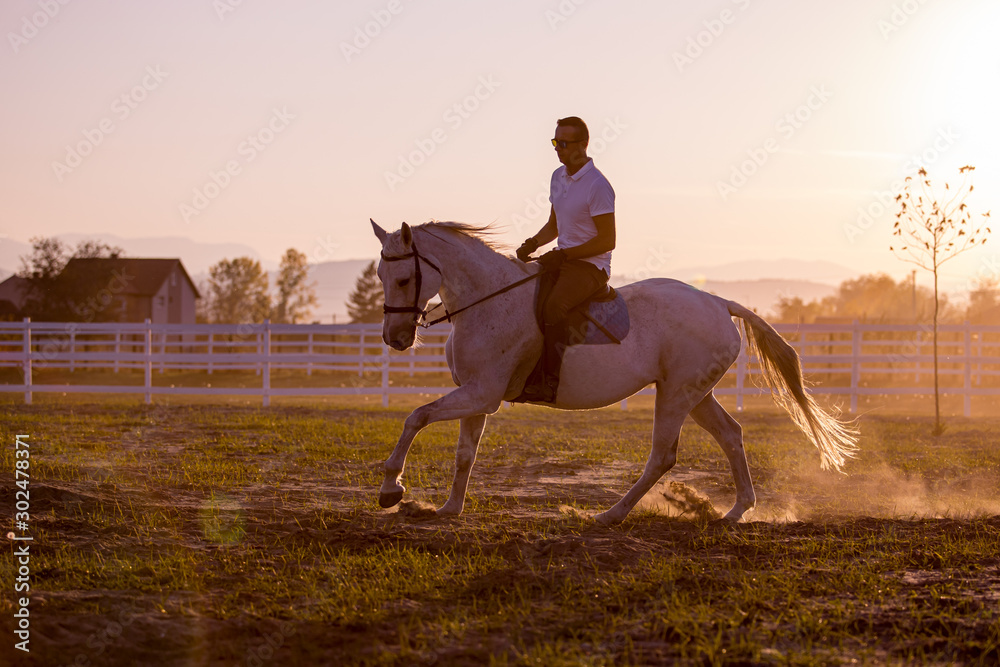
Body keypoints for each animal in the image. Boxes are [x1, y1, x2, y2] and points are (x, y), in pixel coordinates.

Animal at [371, 220, 858, 524]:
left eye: (402, 280)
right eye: (379, 276)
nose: (395, 338)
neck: (488, 301)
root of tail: (720, 303)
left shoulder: (482, 394)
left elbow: (415, 417)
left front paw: (392, 489)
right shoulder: (475, 394)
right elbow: (464, 454)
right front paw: (449, 509)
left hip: (676, 394)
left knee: (663, 455)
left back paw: (611, 514)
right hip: (695, 393)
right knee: (731, 434)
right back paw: (737, 511)